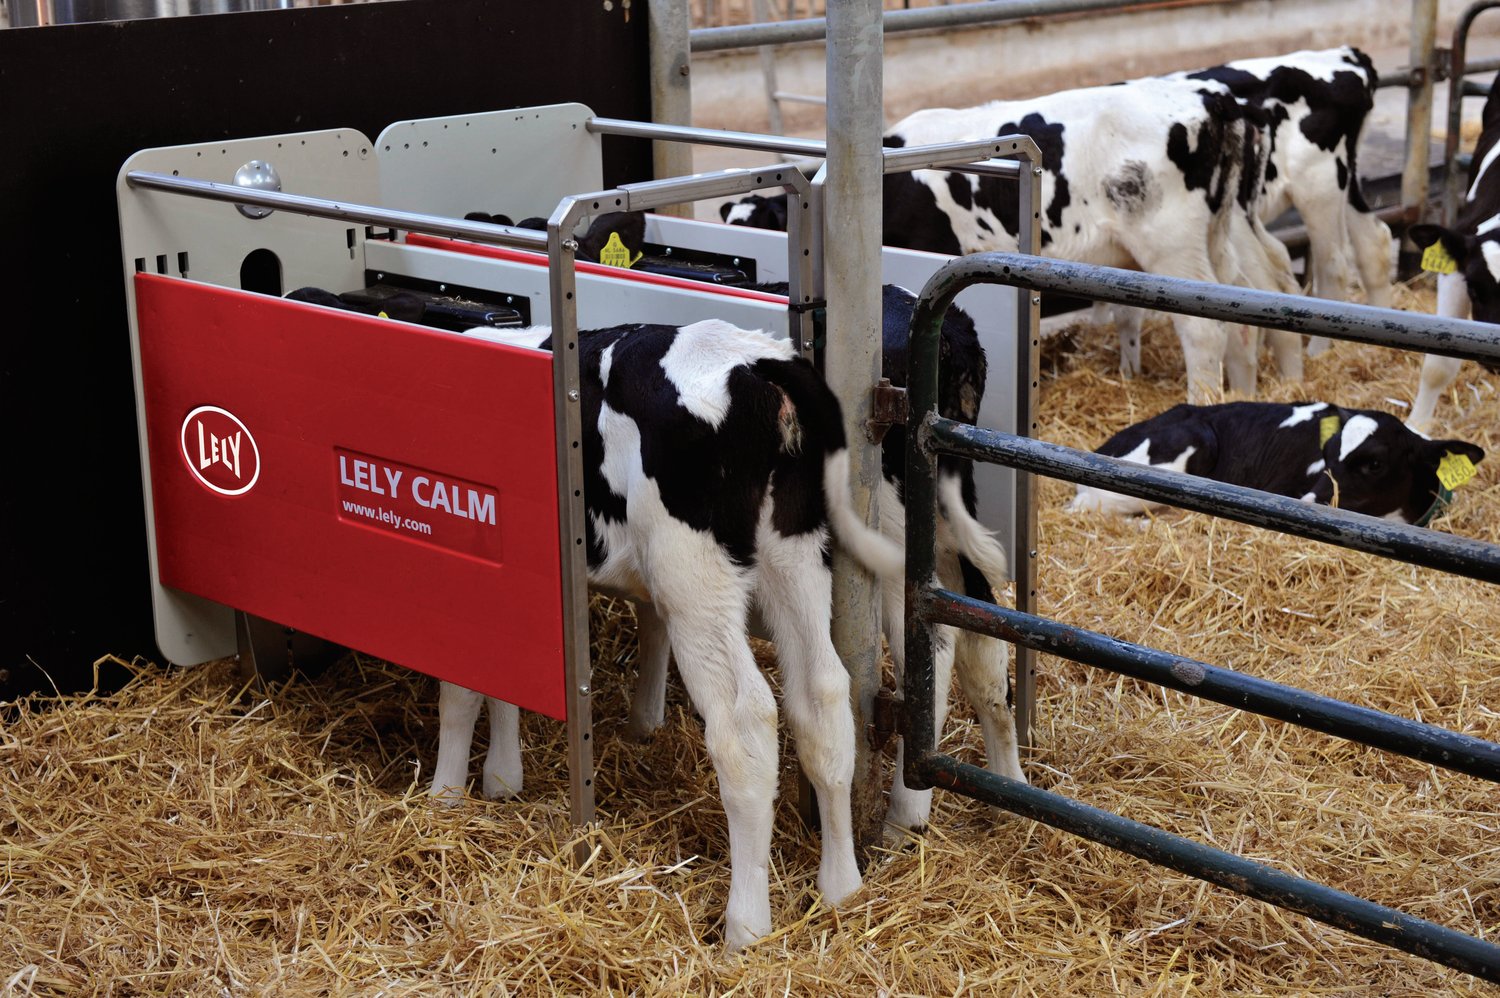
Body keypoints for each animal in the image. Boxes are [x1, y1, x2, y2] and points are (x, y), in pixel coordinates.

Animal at [426, 317, 902, 952]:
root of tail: (756, 362)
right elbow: (503, 674)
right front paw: (501, 778)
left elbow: (459, 690)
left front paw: (443, 798)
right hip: (796, 552)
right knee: (822, 697)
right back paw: (841, 887)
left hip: (694, 578)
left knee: (745, 722)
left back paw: (746, 925)